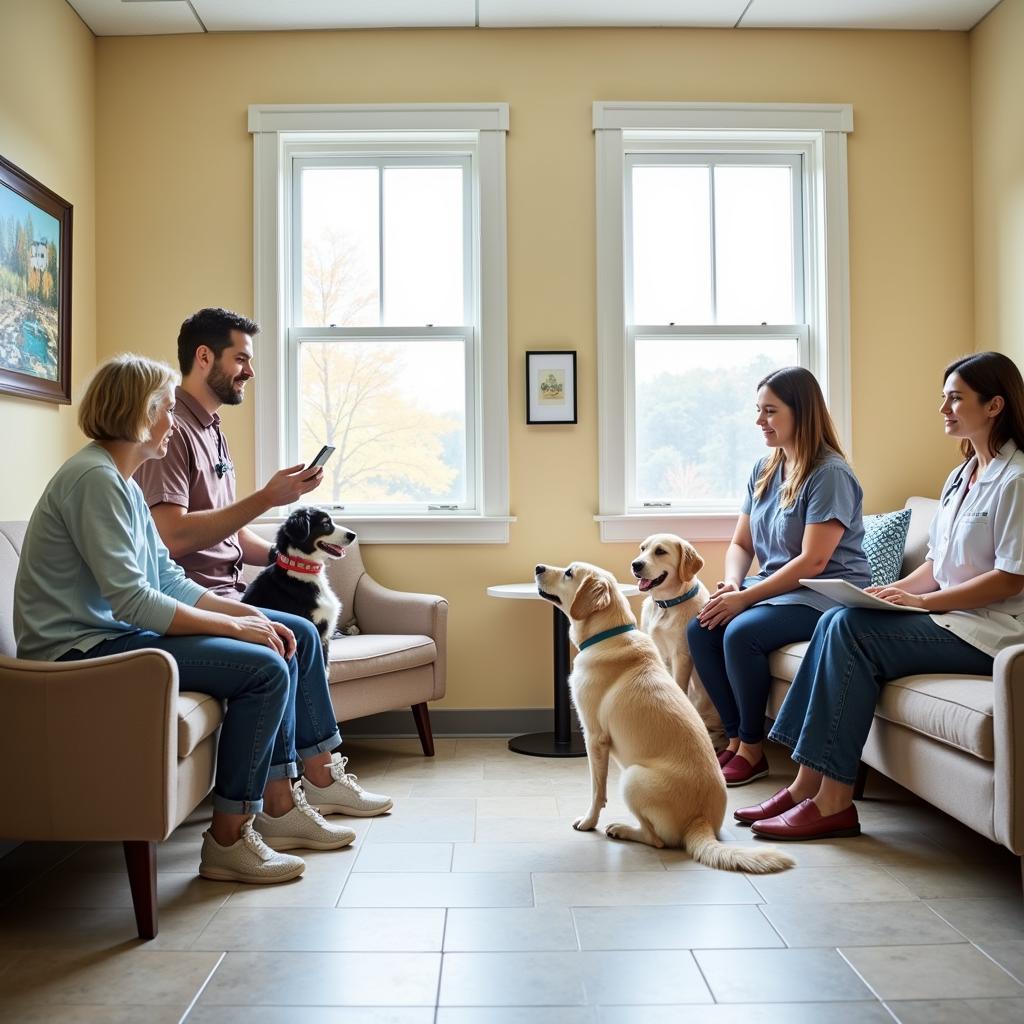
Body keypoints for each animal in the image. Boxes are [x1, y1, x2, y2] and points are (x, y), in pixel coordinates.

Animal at [536, 561, 790, 872]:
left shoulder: (594, 738)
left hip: (631, 778)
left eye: (569, 573)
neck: (607, 635)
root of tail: (701, 822)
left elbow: (597, 790)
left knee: (656, 839)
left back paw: (621, 829)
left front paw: (588, 821)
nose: (538, 567)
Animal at [630, 532, 729, 749]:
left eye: (660, 551)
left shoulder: (681, 655)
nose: (636, 564)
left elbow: (678, 686)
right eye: (643, 549)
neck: (666, 606)